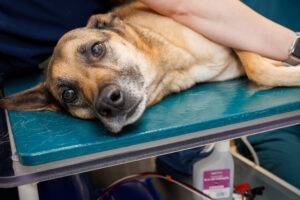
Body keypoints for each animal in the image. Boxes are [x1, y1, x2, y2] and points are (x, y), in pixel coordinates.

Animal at [0, 1, 300, 133]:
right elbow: (260, 69)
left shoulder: (231, 29)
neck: (170, 69)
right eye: (69, 95)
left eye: (96, 49)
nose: (109, 103)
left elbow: (258, 67)